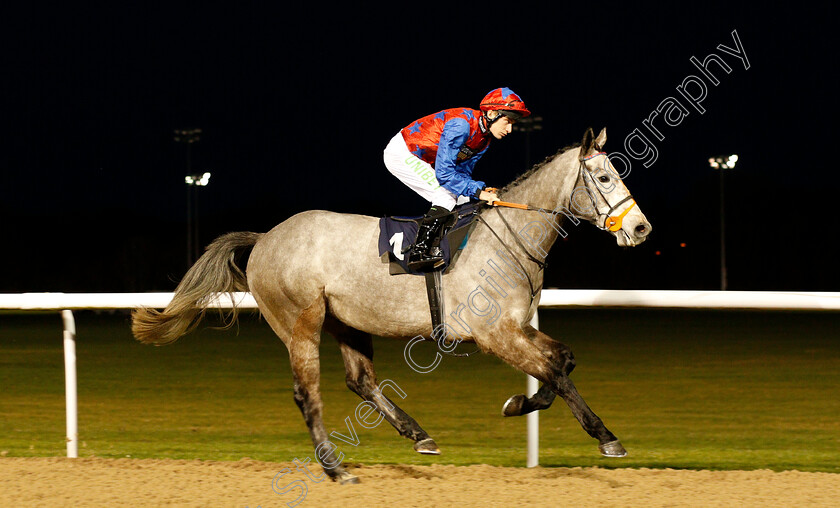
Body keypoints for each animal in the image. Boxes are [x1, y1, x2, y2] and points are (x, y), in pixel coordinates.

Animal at [135, 127, 652, 484]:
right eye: (603, 176)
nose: (641, 228)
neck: (508, 239)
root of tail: (265, 237)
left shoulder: (516, 328)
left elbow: (562, 360)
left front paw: (519, 403)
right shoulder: (494, 334)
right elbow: (556, 371)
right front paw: (606, 438)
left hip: (346, 322)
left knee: (360, 380)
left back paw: (419, 435)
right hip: (300, 322)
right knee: (308, 393)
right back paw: (335, 468)